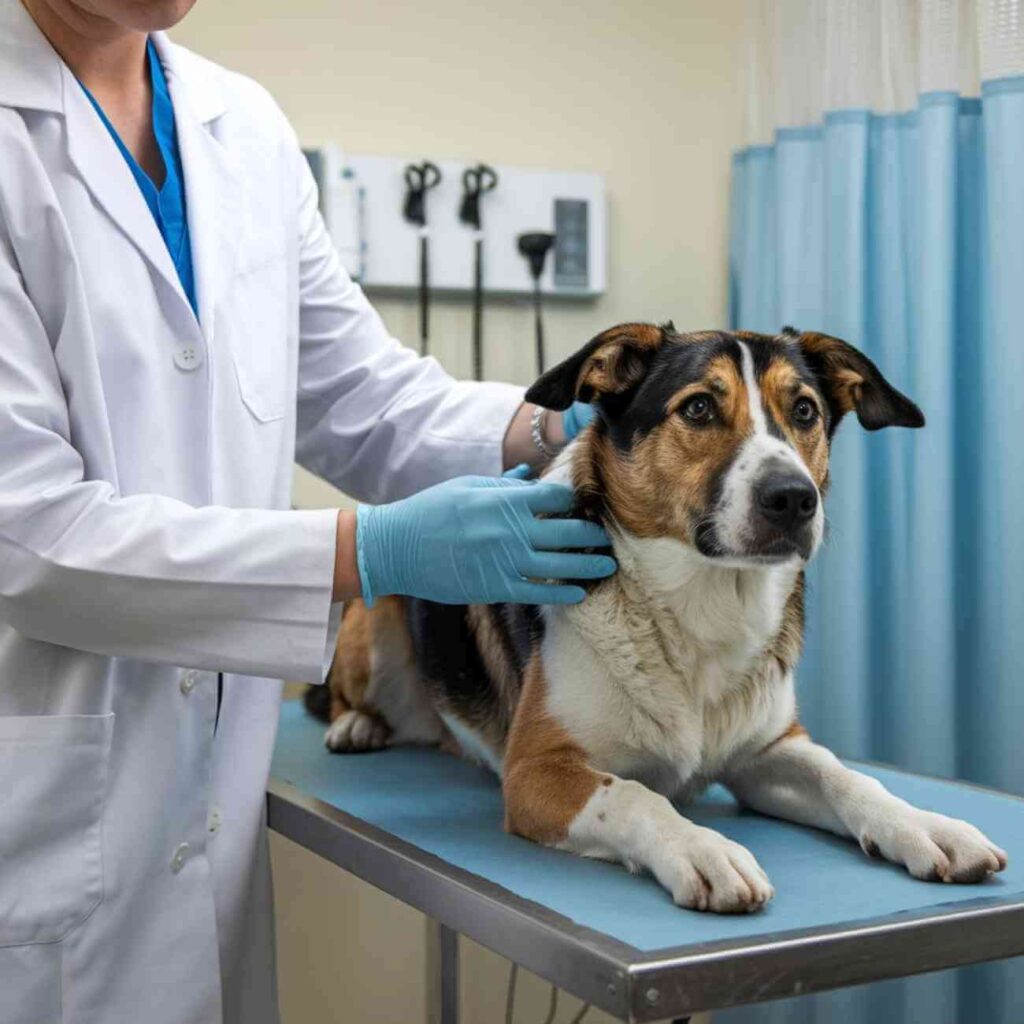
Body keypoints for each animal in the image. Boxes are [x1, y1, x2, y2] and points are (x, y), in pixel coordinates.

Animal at [305, 325, 1007, 913]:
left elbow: (848, 778)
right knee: (344, 689)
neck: (705, 604)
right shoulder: (535, 771)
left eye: (804, 410)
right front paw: (702, 848)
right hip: (375, 615)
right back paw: (356, 724)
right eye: (698, 408)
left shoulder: (767, 753)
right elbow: (634, 795)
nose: (794, 499)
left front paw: (924, 825)